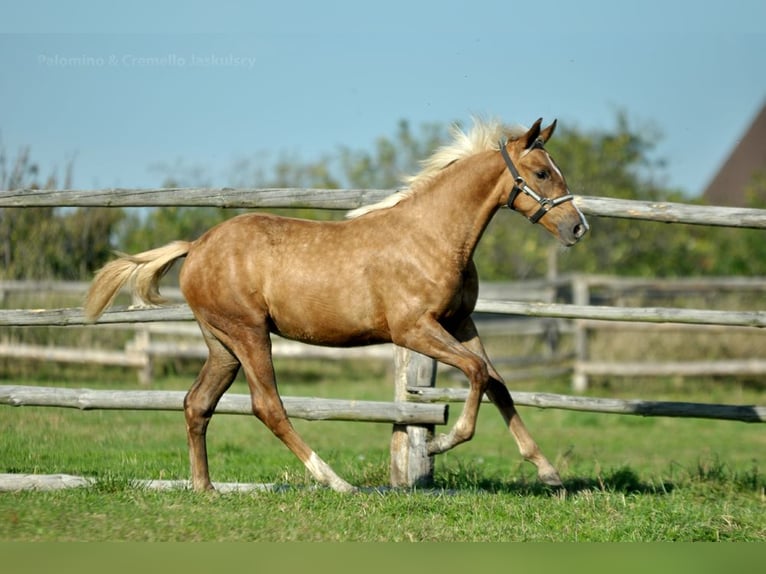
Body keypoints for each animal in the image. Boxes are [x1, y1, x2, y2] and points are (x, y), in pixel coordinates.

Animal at [85, 118, 588, 496]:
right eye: (542, 173)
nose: (577, 228)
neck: (433, 236)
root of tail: (195, 247)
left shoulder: (461, 323)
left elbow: (497, 382)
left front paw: (549, 473)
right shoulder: (413, 329)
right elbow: (478, 373)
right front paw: (441, 442)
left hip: (222, 345)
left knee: (197, 404)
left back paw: (205, 488)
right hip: (249, 334)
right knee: (267, 406)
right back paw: (337, 482)